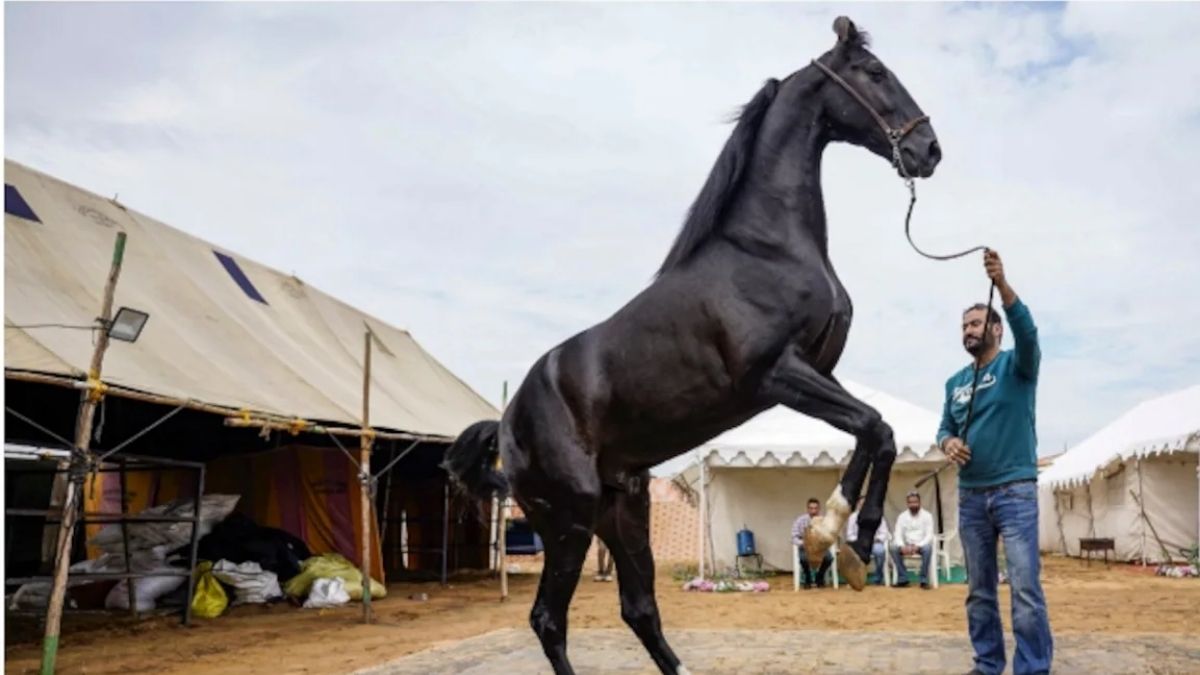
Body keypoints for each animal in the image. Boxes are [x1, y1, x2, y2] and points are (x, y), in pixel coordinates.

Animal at [443, 16, 941, 675]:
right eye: (876, 73)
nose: (929, 150)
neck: (767, 246)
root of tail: (505, 423)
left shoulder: (817, 370)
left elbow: (874, 431)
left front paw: (843, 540)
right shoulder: (777, 375)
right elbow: (875, 427)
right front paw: (840, 535)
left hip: (623, 511)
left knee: (639, 609)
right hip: (568, 520)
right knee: (549, 619)